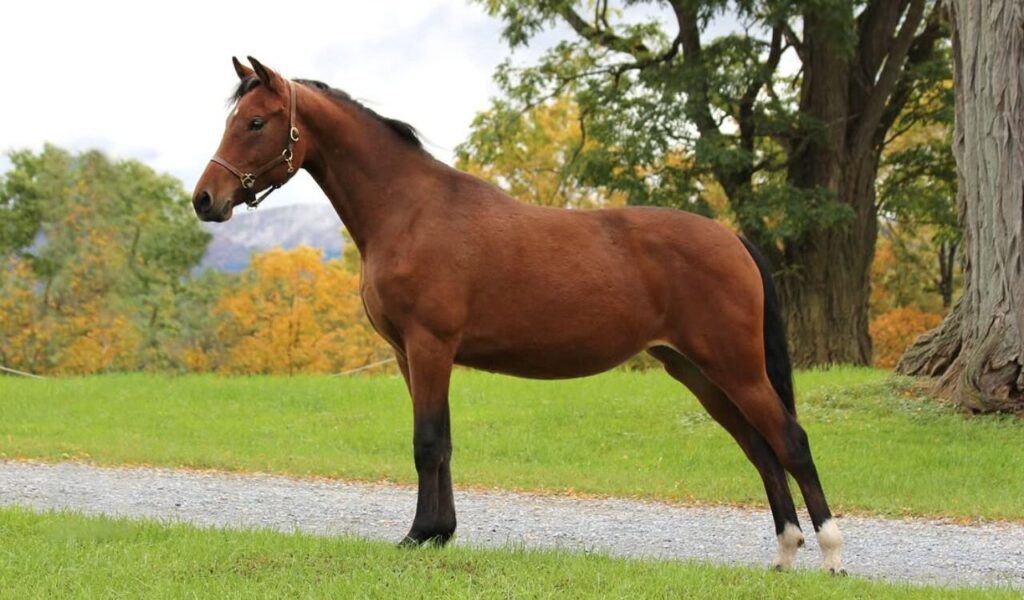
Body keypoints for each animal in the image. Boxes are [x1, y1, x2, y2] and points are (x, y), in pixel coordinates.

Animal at [192, 57, 845, 574]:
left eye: (256, 122)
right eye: (231, 119)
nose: (205, 199)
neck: (410, 209)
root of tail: (731, 238)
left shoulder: (431, 346)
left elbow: (427, 442)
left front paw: (420, 534)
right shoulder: (408, 355)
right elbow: (442, 442)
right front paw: (439, 534)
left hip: (735, 367)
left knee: (790, 441)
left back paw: (833, 553)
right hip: (699, 373)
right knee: (760, 449)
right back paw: (785, 552)